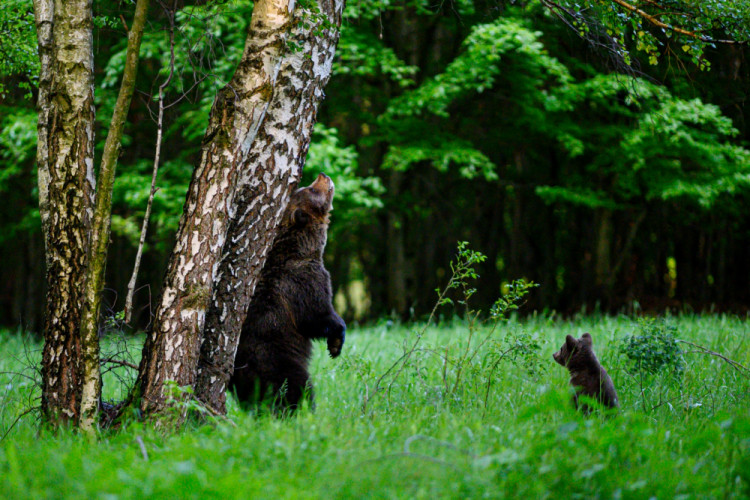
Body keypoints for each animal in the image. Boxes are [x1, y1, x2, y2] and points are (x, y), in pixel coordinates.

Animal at [229, 174, 346, 412]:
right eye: (311, 189)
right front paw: (336, 343)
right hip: (275, 360)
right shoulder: (300, 285)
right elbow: (317, 316)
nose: (323, 176)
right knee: (294, 386)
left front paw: (334, 346)